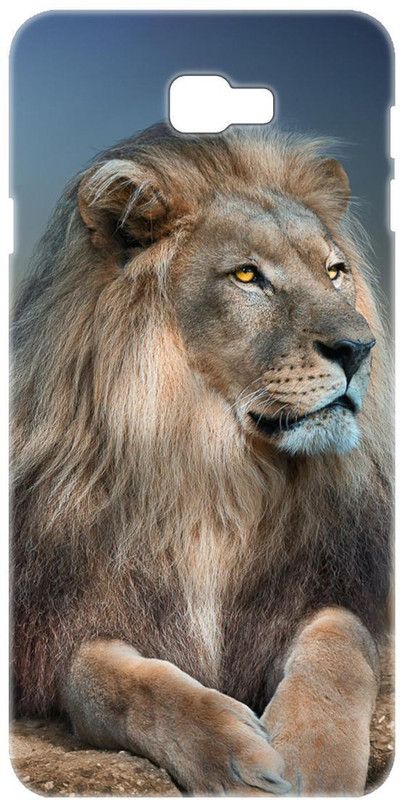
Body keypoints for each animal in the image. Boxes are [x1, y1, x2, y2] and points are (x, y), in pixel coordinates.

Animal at [12, 124, 392, 796]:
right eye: (246, 275)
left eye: (335, 271)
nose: (358, 347)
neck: (216, 474)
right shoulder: (63, 626)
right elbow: (109, 681)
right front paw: (238, 761)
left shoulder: (336, 592)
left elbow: (342, 643)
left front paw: (313, 763)